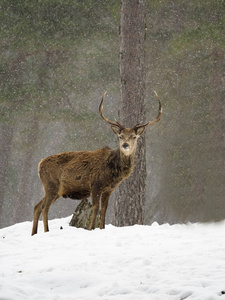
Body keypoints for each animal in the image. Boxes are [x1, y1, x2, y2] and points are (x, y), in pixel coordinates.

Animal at [31, 90, 162, 236]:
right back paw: (46, 231)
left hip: (56, 189)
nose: (125, 145)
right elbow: (95, 208)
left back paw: (34, 233)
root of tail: (40, 163)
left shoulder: (108, 189)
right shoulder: (95, 185)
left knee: (37, 206)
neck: (112, 172)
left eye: (134, 136)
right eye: (120, 136)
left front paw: (102, 228)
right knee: (44, 207)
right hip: (51, 185)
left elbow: (103, 210)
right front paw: (91, 228)